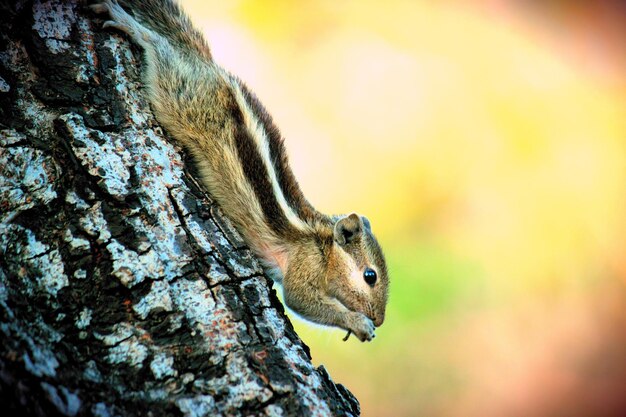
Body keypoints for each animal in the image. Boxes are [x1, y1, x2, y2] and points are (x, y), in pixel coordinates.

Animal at [90, 0, 388, 342]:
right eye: (370, 276)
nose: (379, 320)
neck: (322, 243)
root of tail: (206, 62)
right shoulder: (304, 265)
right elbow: (300, 300)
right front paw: (357, 322)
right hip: (181, 95)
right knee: (161, 51)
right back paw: (131, 26)